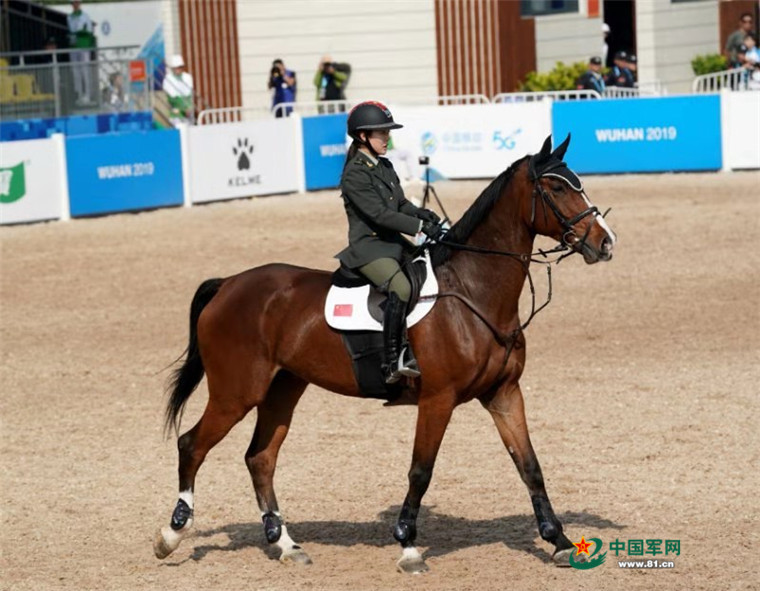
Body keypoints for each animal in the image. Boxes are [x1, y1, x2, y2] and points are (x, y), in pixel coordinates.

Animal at [153, 134, 617, 573]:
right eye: (556, 188)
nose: (605, 243)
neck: (473, 292)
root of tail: (229, 284)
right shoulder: (438, 399)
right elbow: (421, 471)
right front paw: (408, 546)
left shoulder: (503, 394)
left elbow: (530, 466)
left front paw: (559, 541)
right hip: (236, 393)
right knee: (191, 444)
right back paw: (172, 534)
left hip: (283, 389)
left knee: (260, 458)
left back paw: (285, 544)